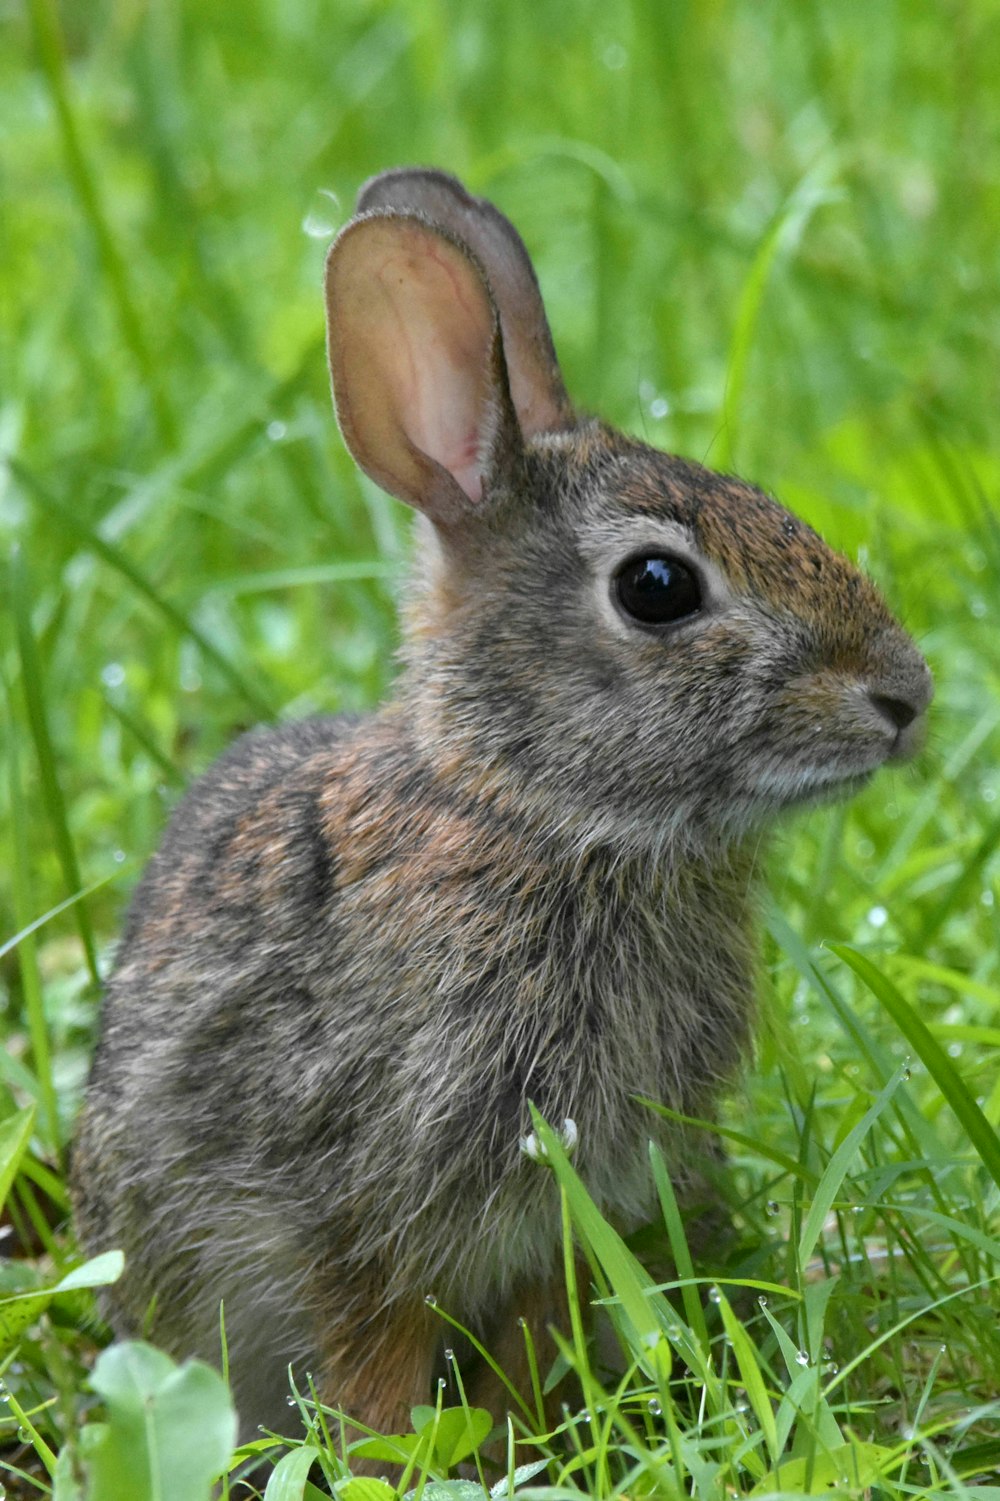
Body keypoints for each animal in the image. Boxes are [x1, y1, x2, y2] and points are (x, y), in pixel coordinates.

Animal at [73, 167, 930, 1452]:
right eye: (657, 587)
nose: (905, 698)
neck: (534, 816)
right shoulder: (362, 1206)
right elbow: (375, 1357)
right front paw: (399, 1460)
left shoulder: (572, 1213)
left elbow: (533, 1340)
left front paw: (525, 1442)